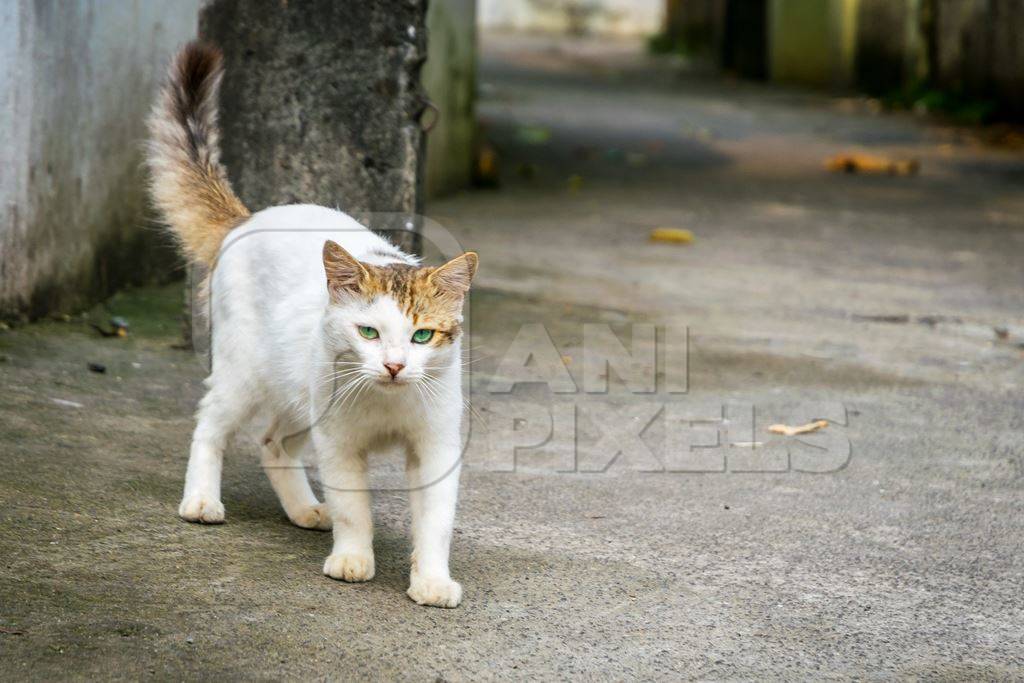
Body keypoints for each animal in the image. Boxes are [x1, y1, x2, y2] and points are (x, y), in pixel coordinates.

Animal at [145, 42, 475, 610]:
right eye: (369, 332)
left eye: (422, 336)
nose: (394, 366)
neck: (386, 402)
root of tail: (250, 218)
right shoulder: (339, 442)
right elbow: (354, 508)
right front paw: (353, 558)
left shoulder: (435, 444)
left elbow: (435, 520)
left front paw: (431, 580)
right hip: (244, 373)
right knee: (210, 424)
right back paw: (202, 500)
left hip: (298, 393)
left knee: (273, 442)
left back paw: (302, 509)